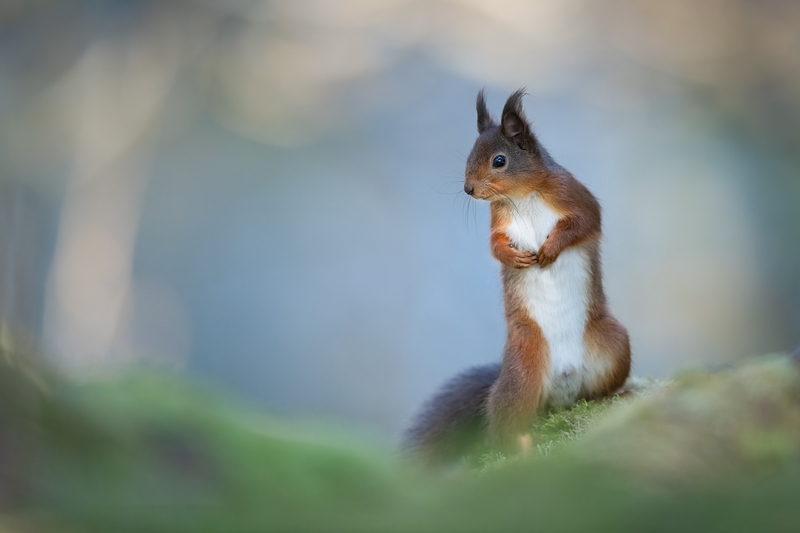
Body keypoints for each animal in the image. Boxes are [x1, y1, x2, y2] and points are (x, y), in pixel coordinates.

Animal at [404, 89, 631, 464]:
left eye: (499, 160)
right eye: (470, 154)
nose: (468, 189)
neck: (521, 197)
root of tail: (561, 392)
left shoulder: (575, 196)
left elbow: (586, 222)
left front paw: (551, 248)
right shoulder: (499, 222)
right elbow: (495, 246)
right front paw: (514, 257)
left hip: (613, 344)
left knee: (595, 392)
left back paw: (614, 397)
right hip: (522, 372)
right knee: (504, 425)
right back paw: (521, 446)